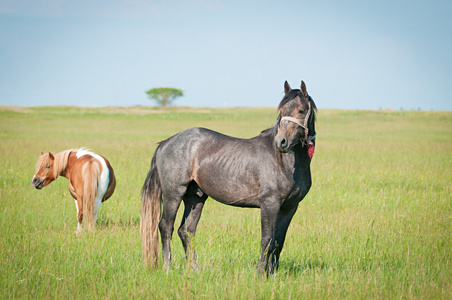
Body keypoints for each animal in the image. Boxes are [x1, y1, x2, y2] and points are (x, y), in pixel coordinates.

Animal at [141, 79, 318, 274]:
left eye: (301, 110)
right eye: (282, 110)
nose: (281, 142)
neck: (284, 161)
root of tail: (165, 142)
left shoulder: (289, 207)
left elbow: (278, 242)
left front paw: (272, 273)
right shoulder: (269, 204)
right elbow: (267, 240)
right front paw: (260, 274)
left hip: (195, 197)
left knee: (186, 230)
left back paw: (196, 270)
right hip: (173, 194)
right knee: (166, 226)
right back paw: (168, 268)